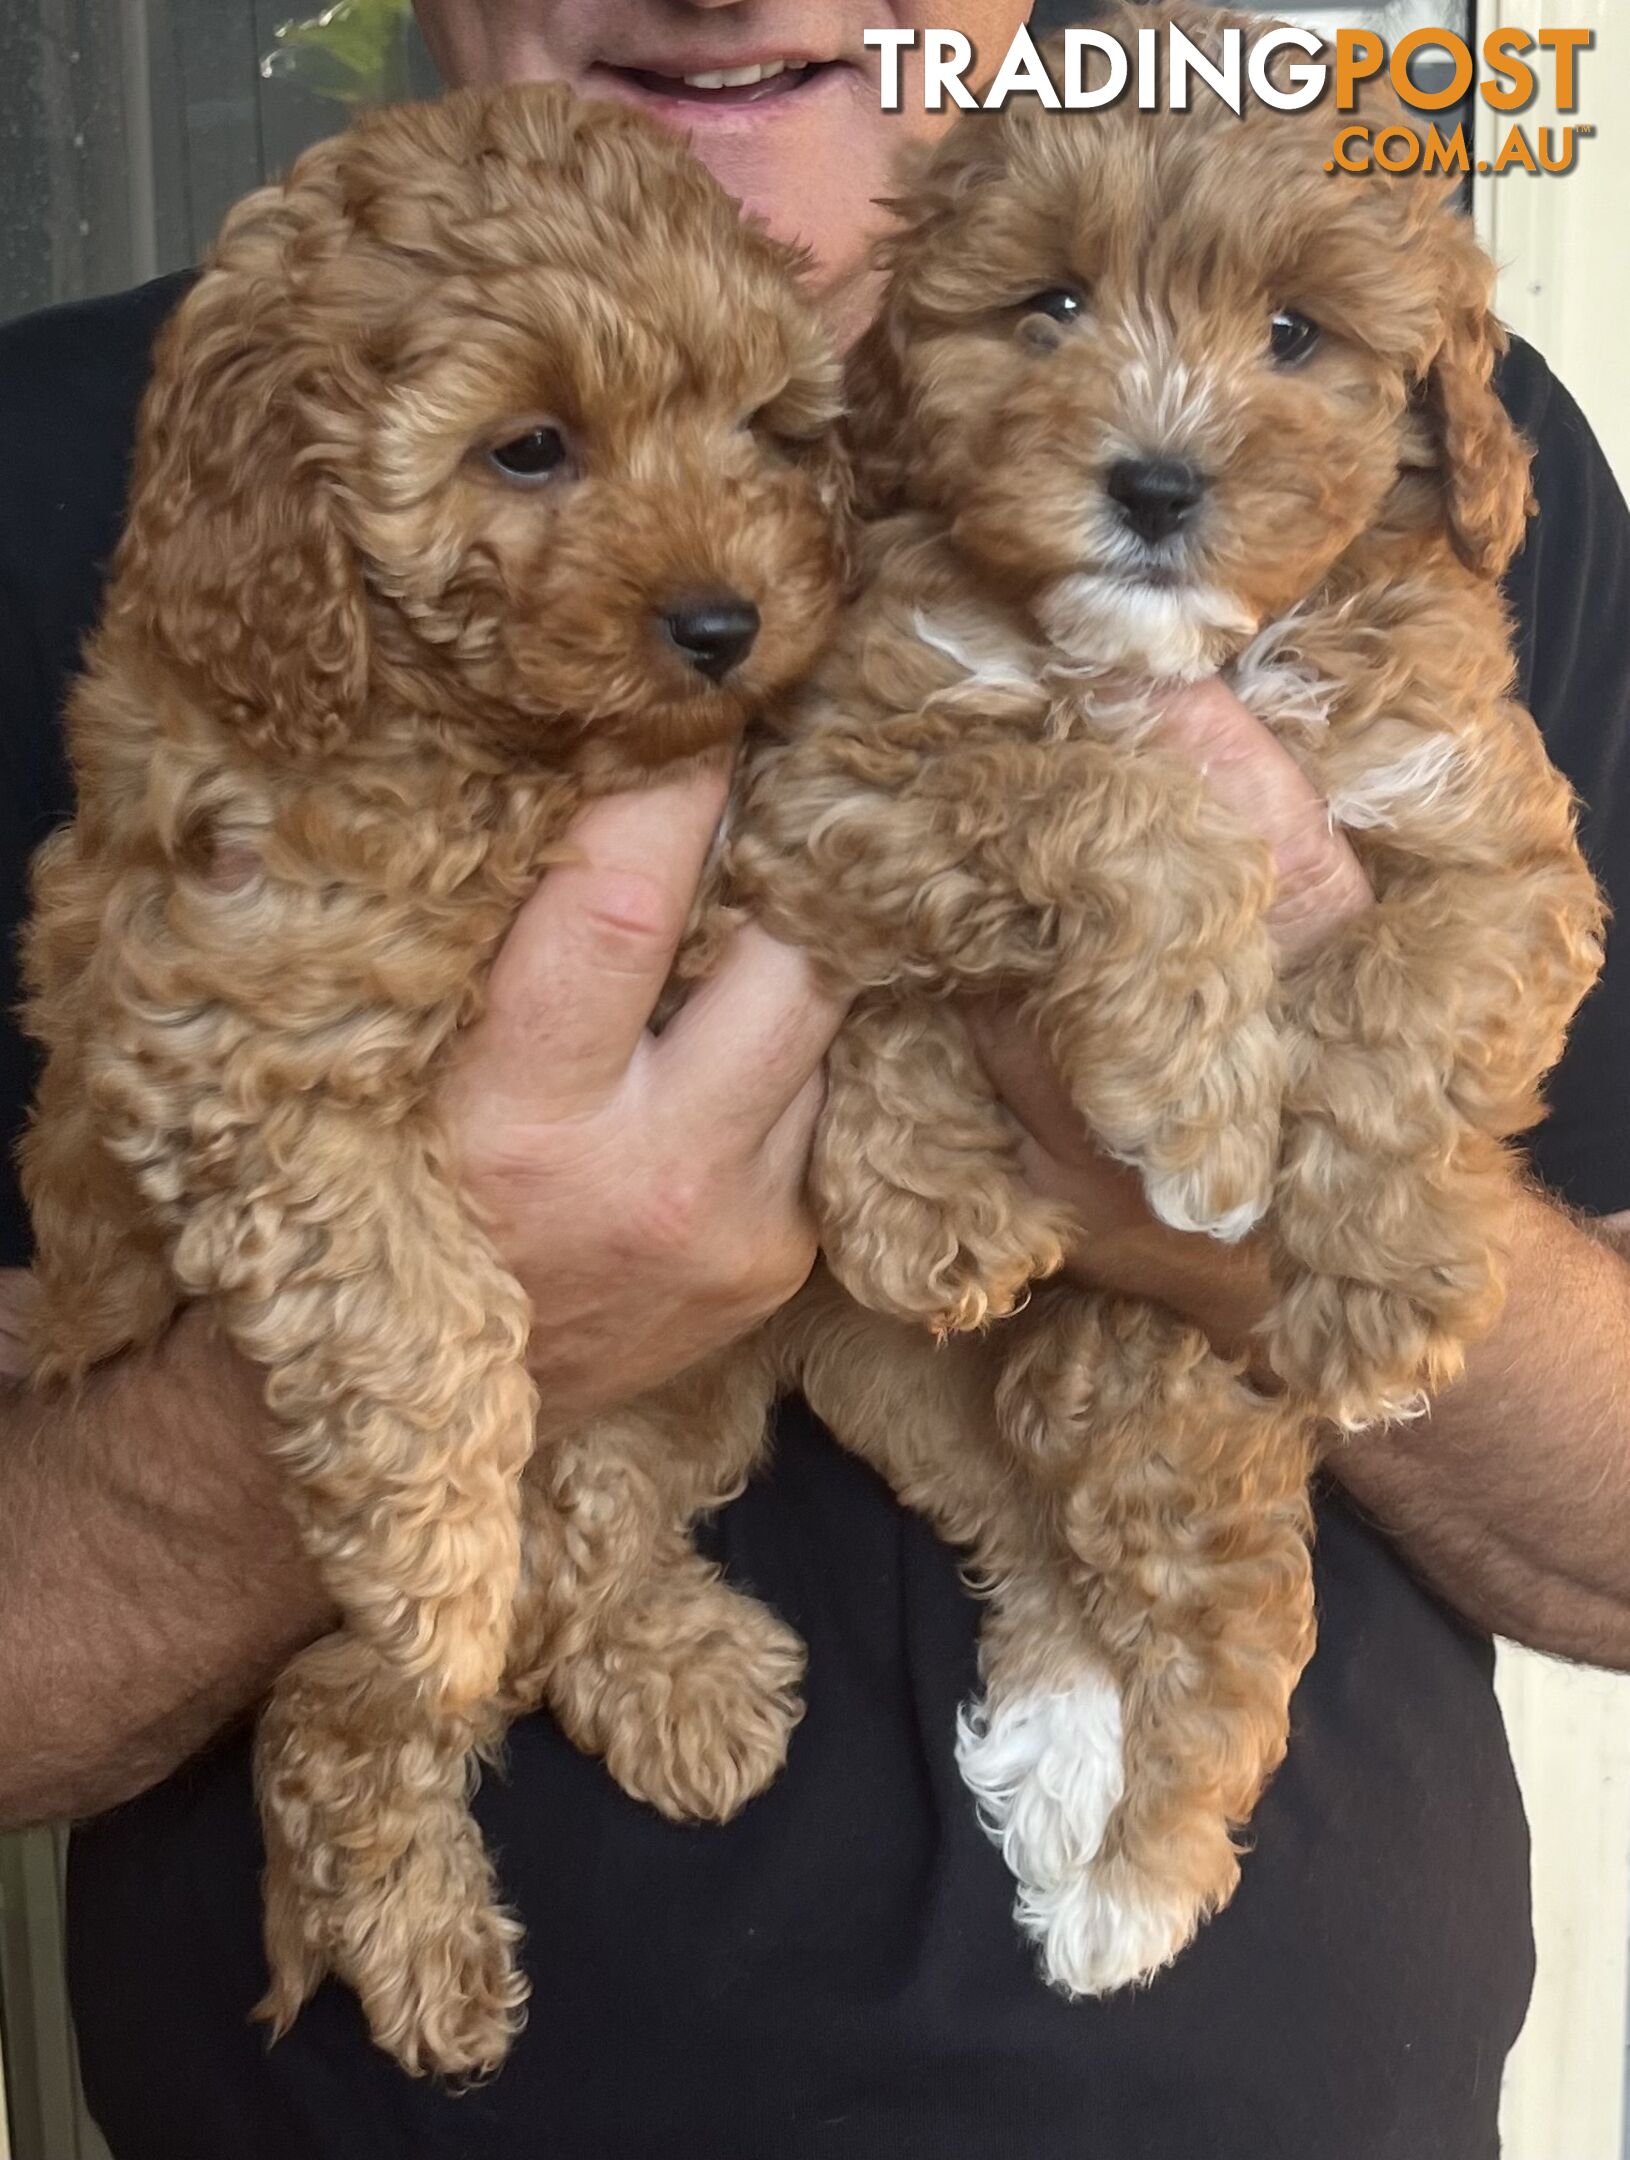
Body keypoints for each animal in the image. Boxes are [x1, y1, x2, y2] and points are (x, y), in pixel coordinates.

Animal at [19, 84, 846, 2073]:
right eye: (527, 448)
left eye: (762, 430)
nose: (727, 624)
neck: (489, 742)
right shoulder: (247, 1047)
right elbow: (425, 1313)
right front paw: (439, 1565)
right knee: (350, 1711)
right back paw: (422, 1896)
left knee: (584, 1538)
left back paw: (672, 1668)